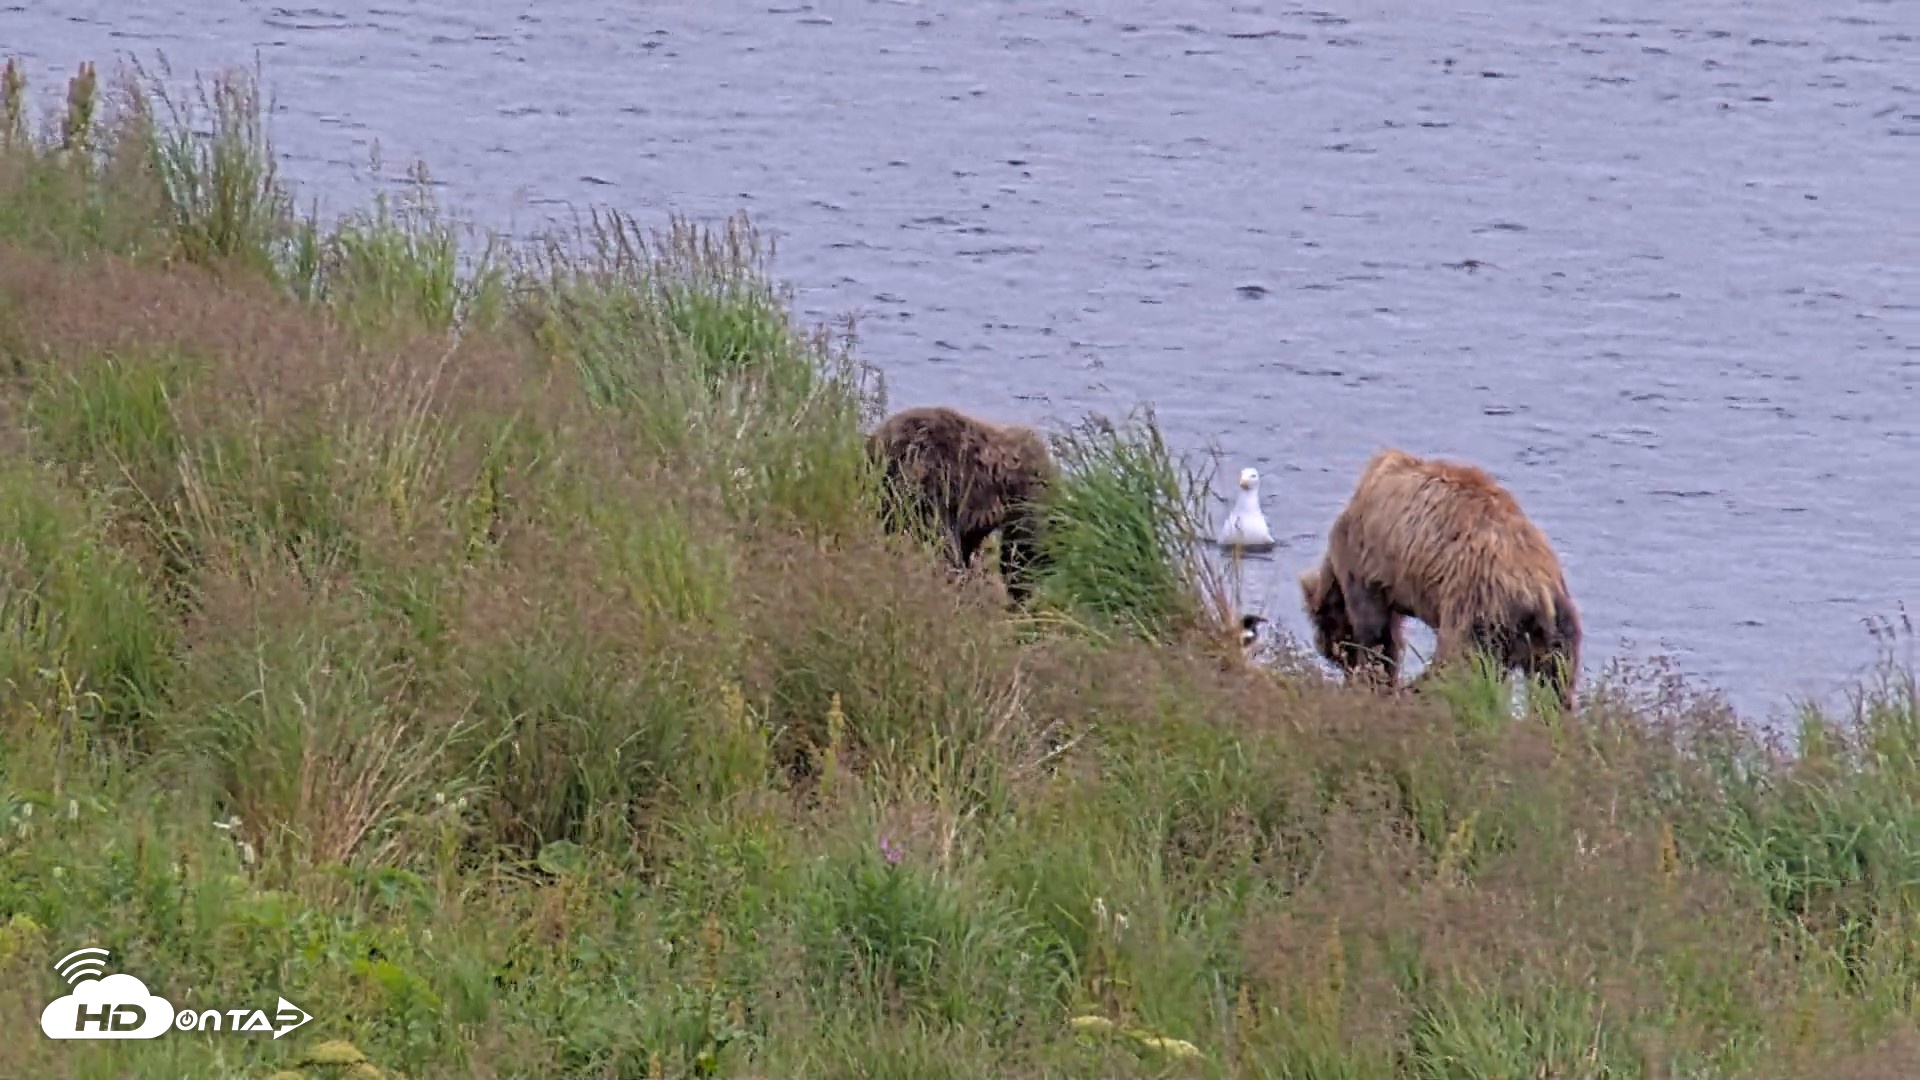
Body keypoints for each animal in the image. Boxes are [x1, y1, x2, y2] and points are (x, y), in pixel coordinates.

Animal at [1297, 447, 1582, 711]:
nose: (1339, 662)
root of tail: (1539, 590)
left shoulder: (1365, 565)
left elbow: (1376, 633)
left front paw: (1374, 679)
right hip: (1558, 627)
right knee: (1554, 683)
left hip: (1480, 608)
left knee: (1459, 664)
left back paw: (1420, 693)